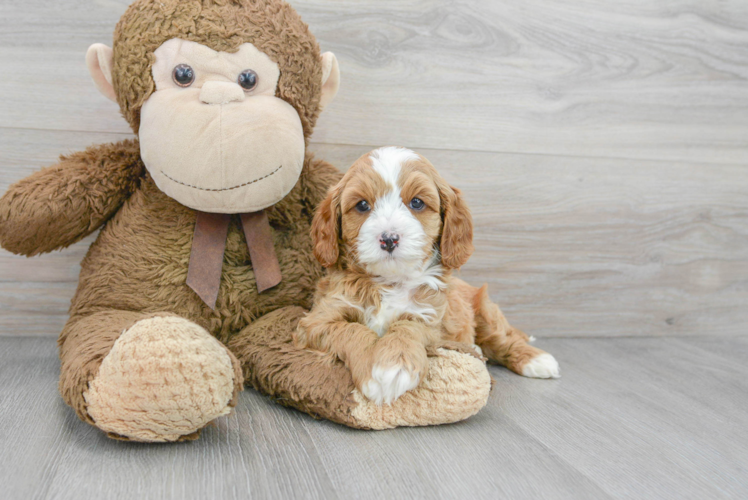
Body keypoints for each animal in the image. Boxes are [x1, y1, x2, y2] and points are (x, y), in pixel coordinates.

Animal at [296, 146, 560, 404]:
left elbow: (406, 327)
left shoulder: (429, 317)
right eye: (361, 205)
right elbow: (352, 330)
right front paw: (374, 368)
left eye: (417, 203)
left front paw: (395, 366)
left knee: (503, 339)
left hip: (485, 311)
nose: (389, 239)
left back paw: (537, 360)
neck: (390, 282)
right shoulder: (318, 321)